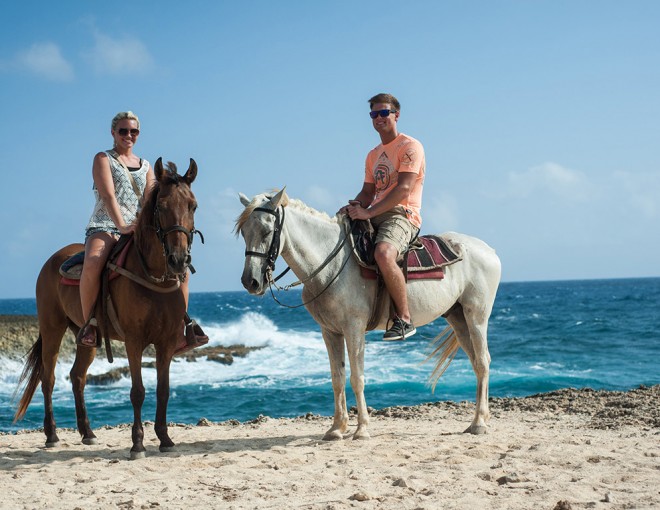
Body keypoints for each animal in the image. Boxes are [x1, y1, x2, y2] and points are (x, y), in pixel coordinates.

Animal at [14, 157, 201, 460]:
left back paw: (87, 432)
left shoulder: (166, 342)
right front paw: (137, 444)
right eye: (161, 206)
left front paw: (165, 439)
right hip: (52, 329)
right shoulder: (134, 341)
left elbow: (163, 390)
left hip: (86, 337)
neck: (151, 274)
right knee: (48, 379)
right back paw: (52, 434)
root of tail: (53, 259)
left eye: (193, 205)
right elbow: (138, 391)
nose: (178, 260)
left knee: (77, 376)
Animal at [237, 189, 500, 440]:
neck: (330, 264)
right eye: (244, 232)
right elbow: (337, 378)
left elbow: (357, 377)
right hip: (458, 318)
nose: (250, 282)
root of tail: (489, 250)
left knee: (482, 361)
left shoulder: (353, 328)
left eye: (266, 231)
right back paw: (478, 420)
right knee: (477, 362)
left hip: (476, 316)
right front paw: (336, 429)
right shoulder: (330, 331)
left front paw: (361, 429)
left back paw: (479, 423)